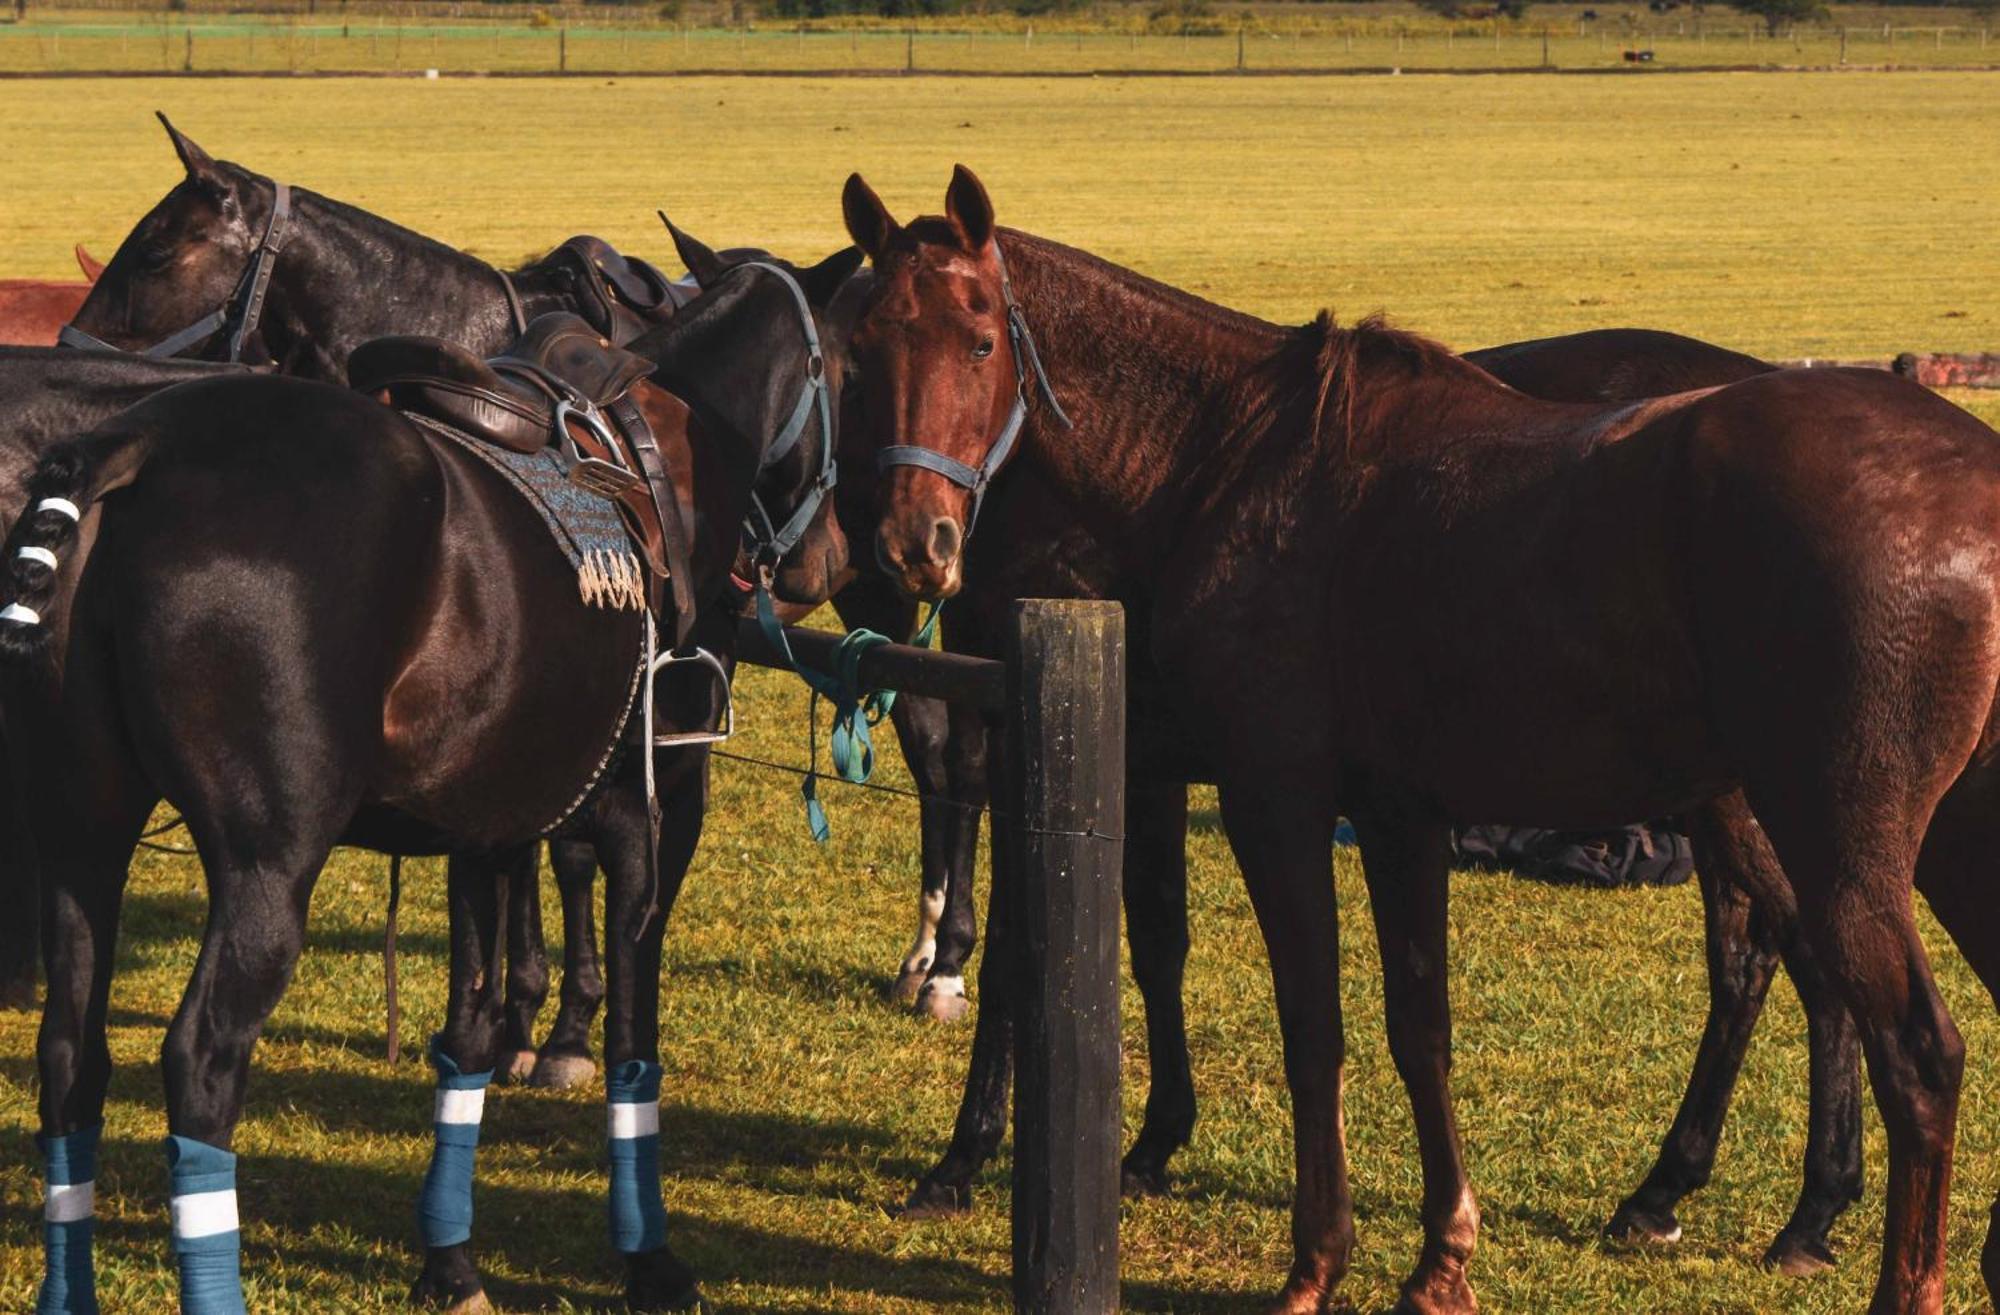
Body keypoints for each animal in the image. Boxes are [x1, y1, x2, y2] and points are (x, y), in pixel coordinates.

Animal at [3, 248, 860, 1311]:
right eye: (849, 376)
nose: (831, 561)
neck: (674, 449)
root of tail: (137, 448)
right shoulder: (651, 820)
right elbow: (633, 1040)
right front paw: (648, 1255)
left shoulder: (485, 830)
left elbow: (470, 1037)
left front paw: (449, 1261)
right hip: (265, 869)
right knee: (201, 1059)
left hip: (80, 836)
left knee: (69, 1055)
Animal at [840, 163, 2000, 1311]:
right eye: (860, 350)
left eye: (979, 341)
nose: (913, 542)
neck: (1231, 464)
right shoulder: (1396, 815)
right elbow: (1417, 1029)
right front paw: (1441, 1257)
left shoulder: (1271, 799)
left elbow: (1311, 1026)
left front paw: (1314, 1262)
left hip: (1832, 840)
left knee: (1913, 1052)